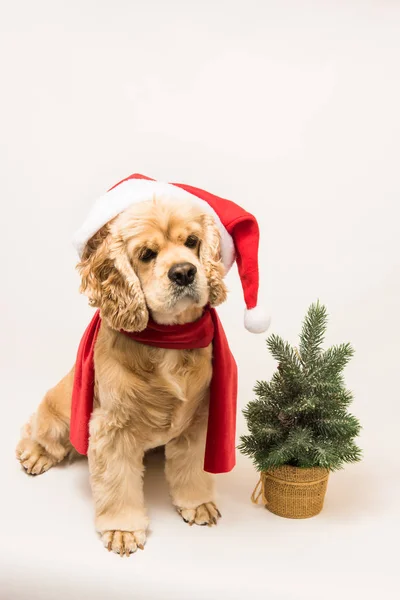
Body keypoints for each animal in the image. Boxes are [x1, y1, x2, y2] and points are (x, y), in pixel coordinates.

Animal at [15, 198, 228, 556]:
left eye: (192, 241)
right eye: (146, 254)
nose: (184, 272)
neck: (169, 342)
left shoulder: (198, 417)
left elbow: (191, 467)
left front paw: (196, 503)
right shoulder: (112, 427)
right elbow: (117, 484)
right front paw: (122, 530)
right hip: (59, 412)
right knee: (36, 429)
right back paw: (35, 453)